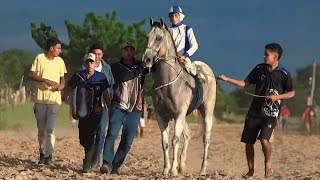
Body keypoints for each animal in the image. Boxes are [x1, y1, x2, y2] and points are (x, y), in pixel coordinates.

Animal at [142, 18, 218, 176]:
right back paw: (182, 166)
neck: (167, 83)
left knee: (206, 139)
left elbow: (175, 140)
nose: (146, 60)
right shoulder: (161, 116)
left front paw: (173, 170)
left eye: (159, 38)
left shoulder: (178, 115)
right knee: (188, 135)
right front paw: (166, 169)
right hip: (184, 117)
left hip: (206, 112)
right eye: (147, 37)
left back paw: (202, 169)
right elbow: (164, 142)